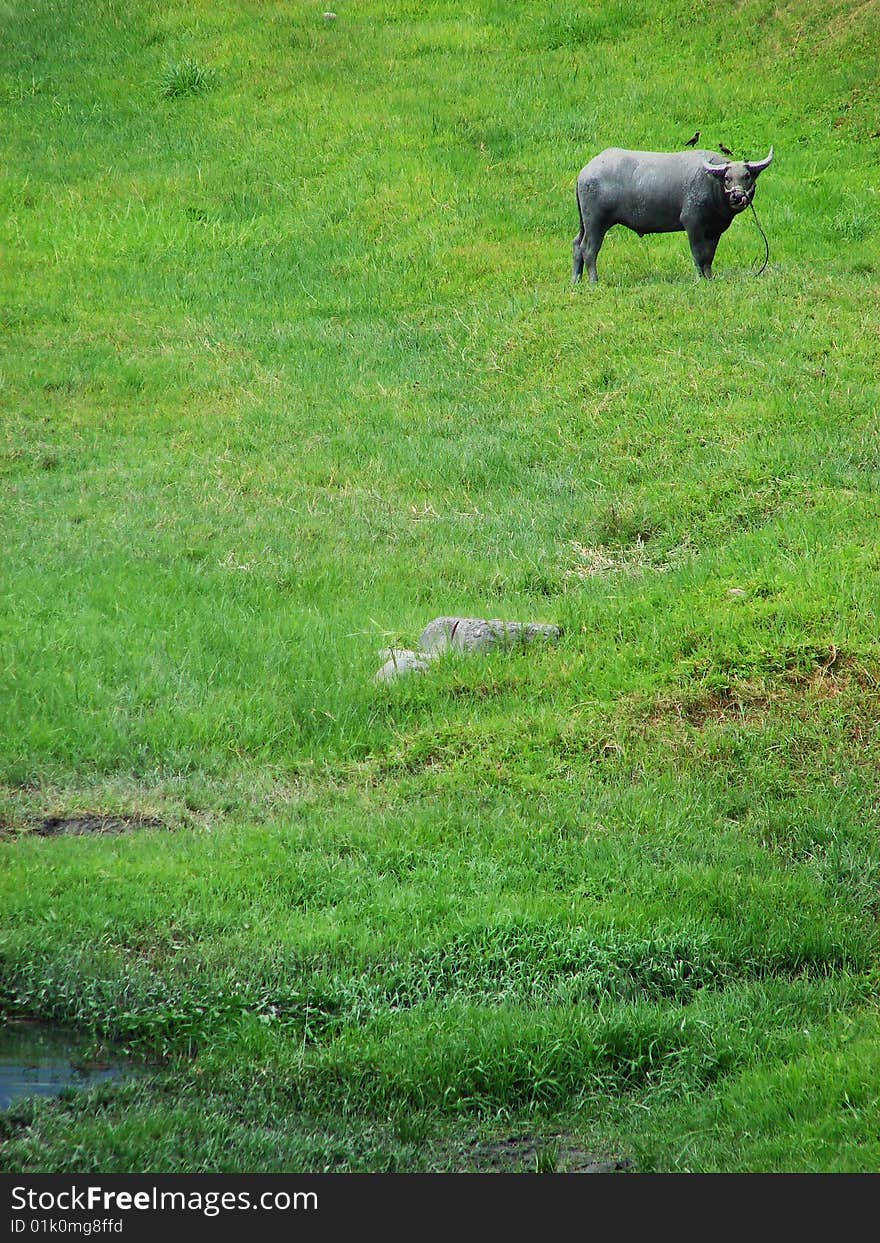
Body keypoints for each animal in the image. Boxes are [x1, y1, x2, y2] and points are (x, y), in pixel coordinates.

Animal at [571, 146, 770, 283]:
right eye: (728, 178)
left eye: (746, 176)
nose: (738, 196)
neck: (712, 183)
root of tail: (584, 172)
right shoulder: (693, 224)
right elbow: (698, 253)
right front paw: (700, 278)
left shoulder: (715, 230)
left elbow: (709, 256)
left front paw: (709, 277)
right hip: (596, 222)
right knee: (589, 248)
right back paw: (594, 281)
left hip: (584, 223)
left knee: (576, 244)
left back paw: (576, 280)